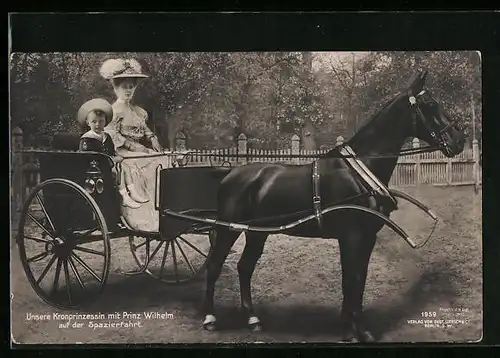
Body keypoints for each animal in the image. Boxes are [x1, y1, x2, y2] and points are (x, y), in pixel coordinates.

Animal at [201, 70, 466, 342]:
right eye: (430, 103)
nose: (459, 140)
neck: (358, 173)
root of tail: (230, 174)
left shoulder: (367, 238)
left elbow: (359, 281)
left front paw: (358, 329)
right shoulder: (351, 237)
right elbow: (350, 280)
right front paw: (352, 331)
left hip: (256, 233)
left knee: (244, 267)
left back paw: (253, 319)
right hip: (228, 230)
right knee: (214, 265)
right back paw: (210, 318)